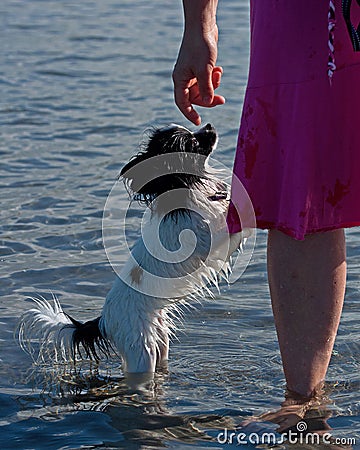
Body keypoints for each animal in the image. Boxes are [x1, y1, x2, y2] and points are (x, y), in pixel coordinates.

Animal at [17, 123, 242, 372]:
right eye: (191, 142)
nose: (209, 125)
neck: (188, 187)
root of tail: (104, 321)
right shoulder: (208, 240)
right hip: (142, 352)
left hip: (159, 339)